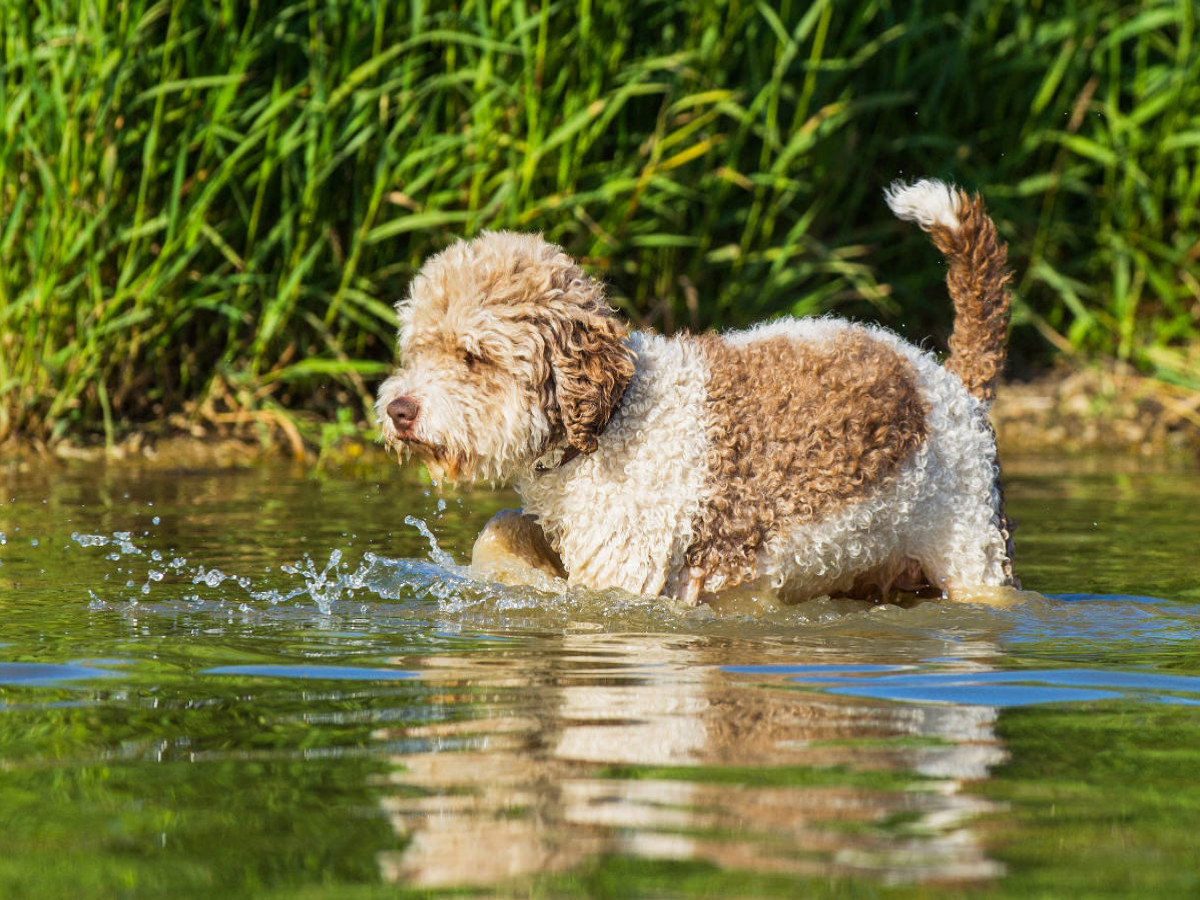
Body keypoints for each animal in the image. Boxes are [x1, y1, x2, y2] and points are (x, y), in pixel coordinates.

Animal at [374, 180, 1012, 607]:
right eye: (416, 350)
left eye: (472, 355)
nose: (398, 410)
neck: (612, 419)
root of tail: (949, 377)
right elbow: (502, 528)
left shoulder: (626, 579)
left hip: (973, 548)